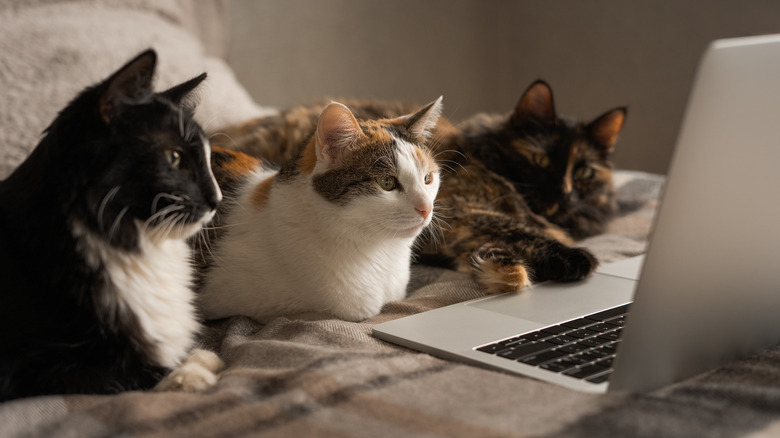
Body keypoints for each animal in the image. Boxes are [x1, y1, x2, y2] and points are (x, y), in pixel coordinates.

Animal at [0, 50, 225, 400]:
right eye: (173, 158)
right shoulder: (27, 366)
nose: (218, 199)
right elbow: (125, 372)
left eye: (208, 158)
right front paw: (189, 373)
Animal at [210, 82, 624, 294]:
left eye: (584, 172)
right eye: (539, 161)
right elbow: (515, 227)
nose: (564, 194)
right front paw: (573, 257)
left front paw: (498, 266)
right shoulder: (460, 213)